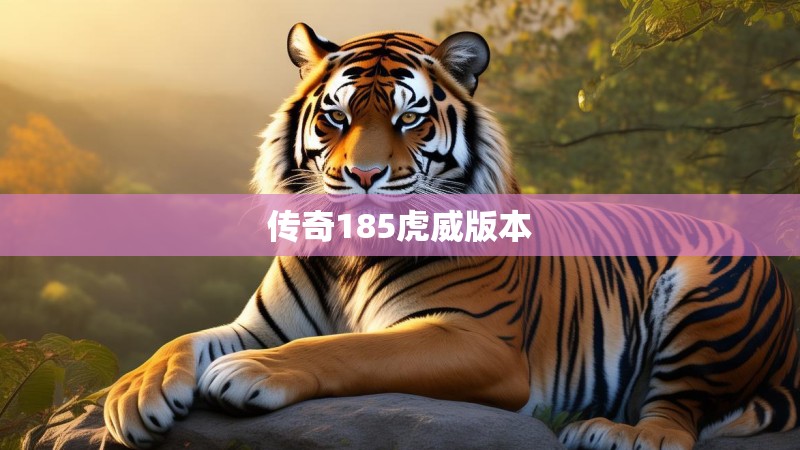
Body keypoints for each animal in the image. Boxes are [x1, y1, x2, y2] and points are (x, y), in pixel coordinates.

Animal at [103, 23, 800, 449]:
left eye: (409, 119)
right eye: (336, 117)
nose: (362, 176)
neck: (351, 260)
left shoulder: (476, 338)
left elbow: (348, 349)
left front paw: (248, 372)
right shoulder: (261, 324)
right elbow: (184, 339)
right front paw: (134, 395)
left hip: (708, 293)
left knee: (678, 418)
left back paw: (616, 432)